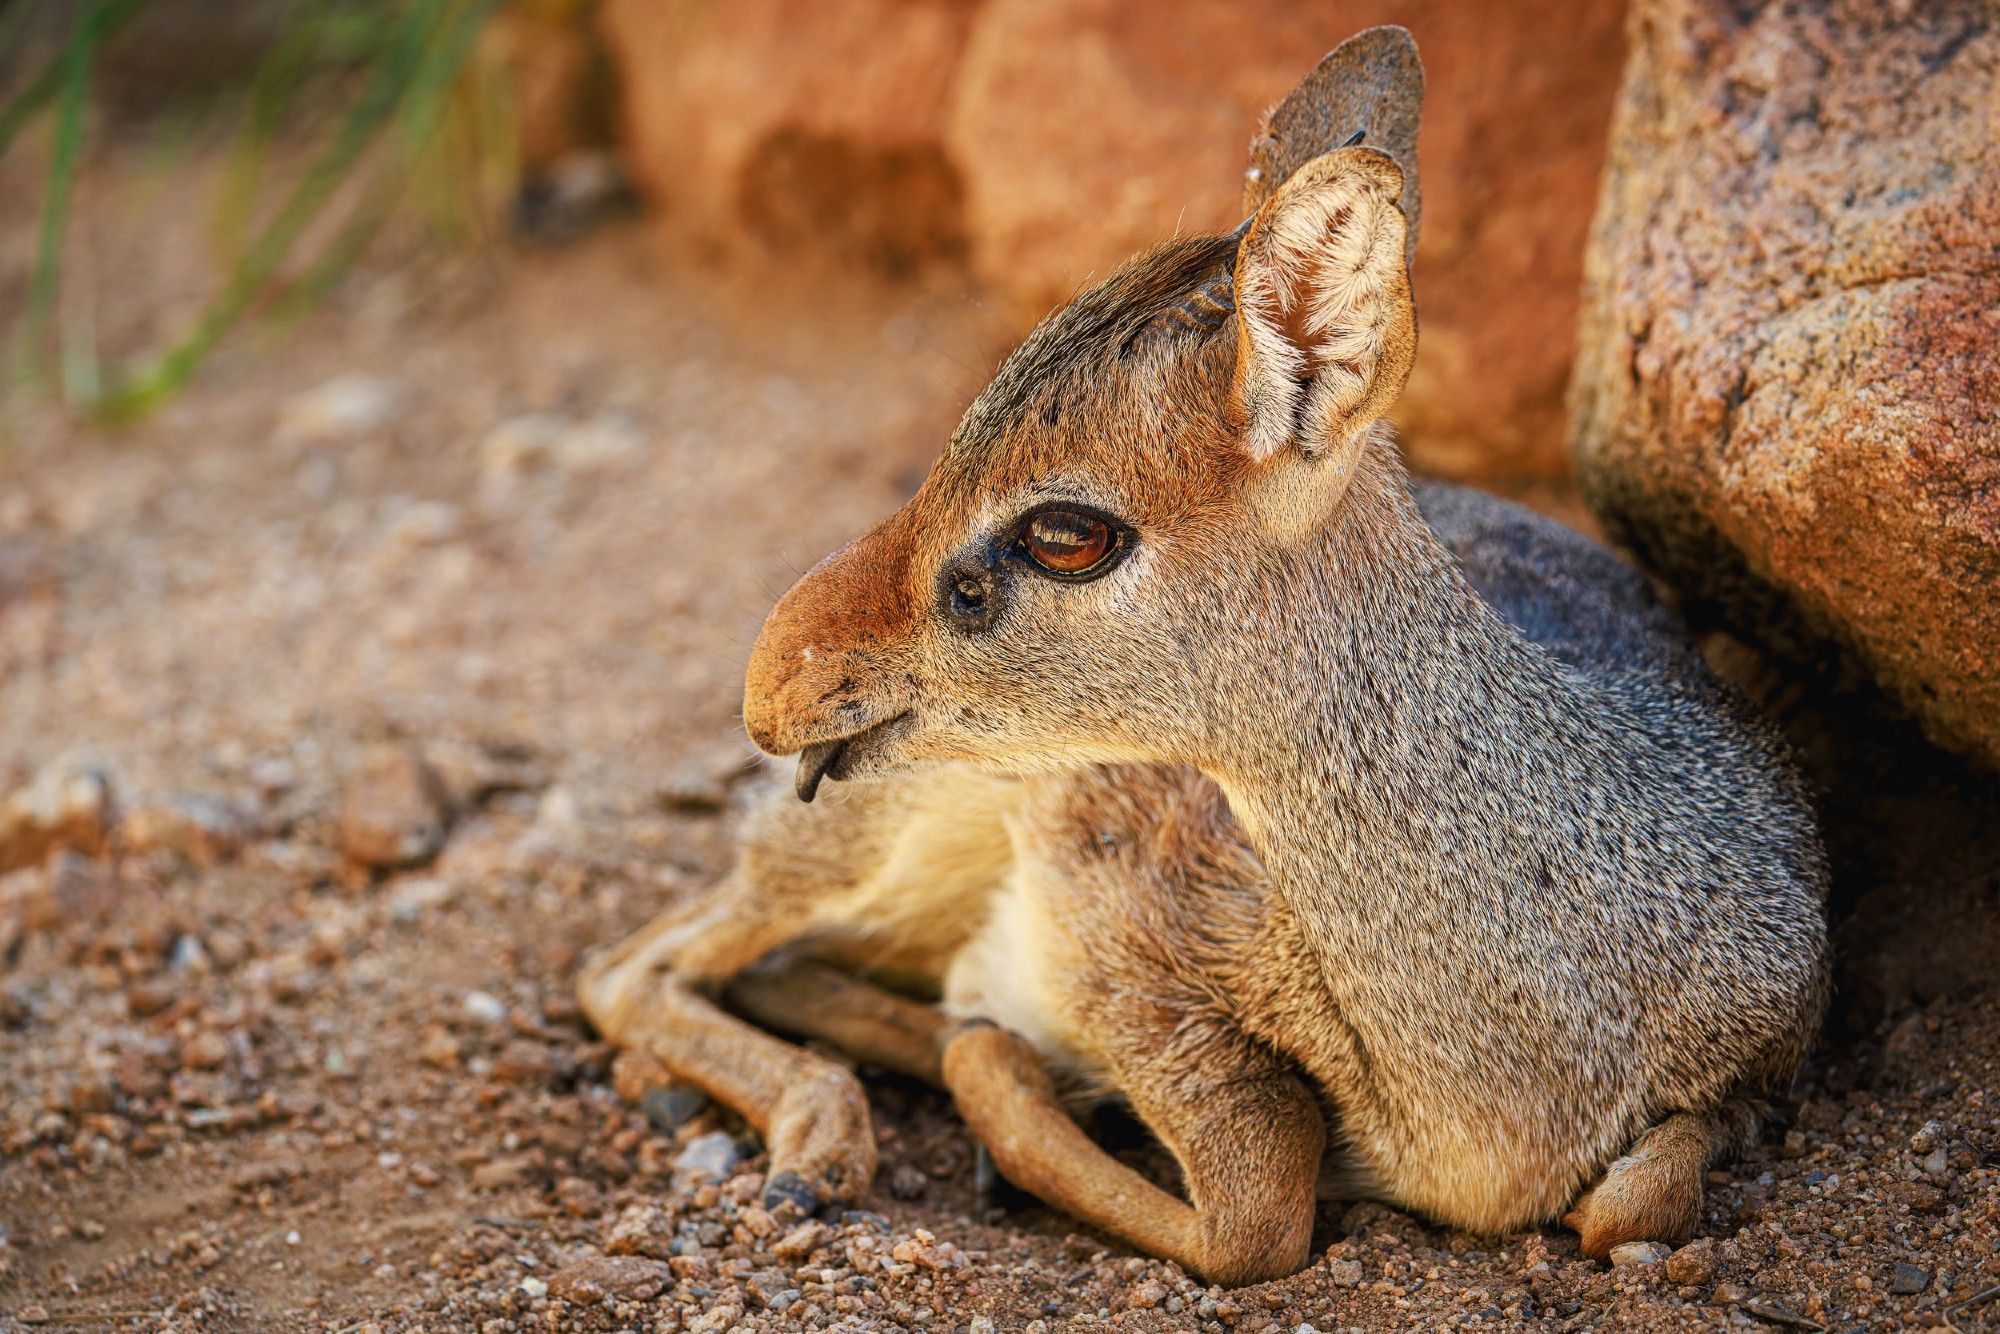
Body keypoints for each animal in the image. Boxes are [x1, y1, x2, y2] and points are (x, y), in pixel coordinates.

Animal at [580, 28, 1832, 1280]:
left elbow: (1630, 1202)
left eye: (1066, 531)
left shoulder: (1760, 1059)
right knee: (634, 964)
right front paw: (999, 1060)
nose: (772, 682)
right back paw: (830, 1143)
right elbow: (1259, 1202)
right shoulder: (1126, 945)